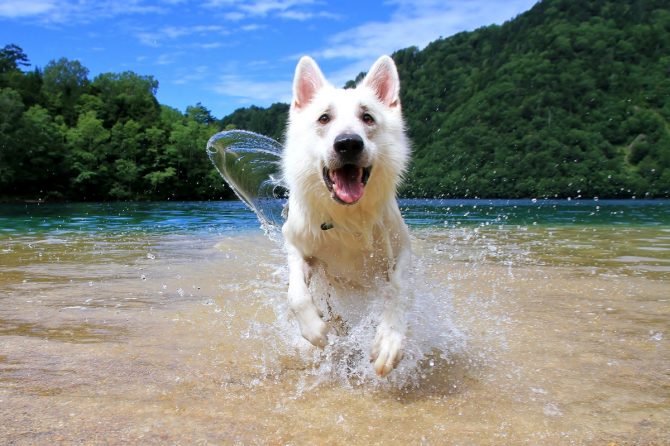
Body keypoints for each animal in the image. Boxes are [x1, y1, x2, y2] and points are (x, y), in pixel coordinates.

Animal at [282, 55, 412, 376]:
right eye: (323, 119)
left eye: (367, 118)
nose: (348, 143)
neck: (347, 216)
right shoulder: (296, 244)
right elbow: (296, 293)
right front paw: (314, 329)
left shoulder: (401, 248)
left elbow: (399, 288)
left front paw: (390, 339)